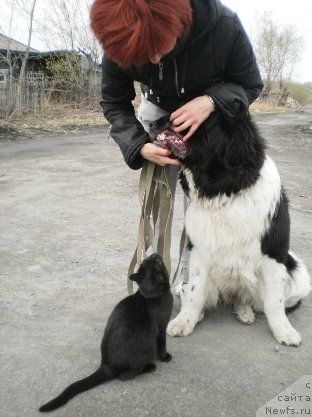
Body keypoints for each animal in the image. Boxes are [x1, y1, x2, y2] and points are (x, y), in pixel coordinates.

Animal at [39, 252, 173, 412]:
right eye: (149, 261)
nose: (153, 254)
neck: (157, 293)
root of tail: (106, 365)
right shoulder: (162, 327)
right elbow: (163, 344)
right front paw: (165, 357)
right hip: (148, 345)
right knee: (124, 375)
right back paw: (149, 367)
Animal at [165, 112, 310, 346]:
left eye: (199, 119)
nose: (164, 117)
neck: (224, 191)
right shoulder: (198, 250)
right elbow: (195, 291)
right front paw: (184, 321)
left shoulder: (274, 254)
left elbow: (275, 301)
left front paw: (284, 331)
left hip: (298, 275)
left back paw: (245, 312)